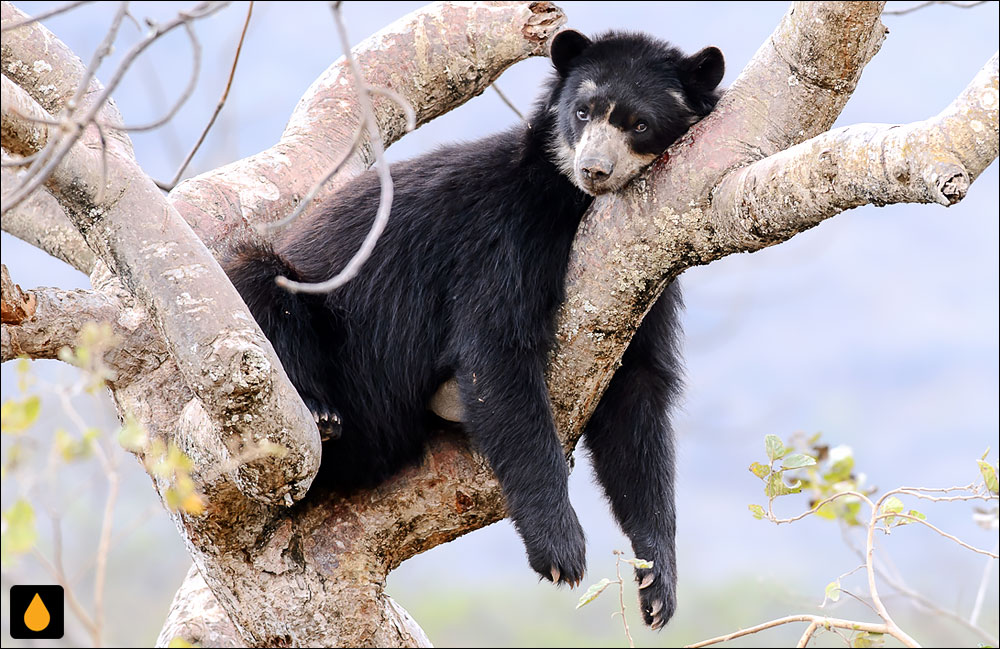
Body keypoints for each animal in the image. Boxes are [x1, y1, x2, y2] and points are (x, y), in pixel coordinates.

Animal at [225, 30, 728, 628]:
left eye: (640, 124)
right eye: (582, 112)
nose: (594, 170)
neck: (572, 205)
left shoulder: (642, 271)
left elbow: (638, 395)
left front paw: (657, 584)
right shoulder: (503, 238)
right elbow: (497, 355)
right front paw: (561, 551)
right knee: (261, 282)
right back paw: (324, 415)